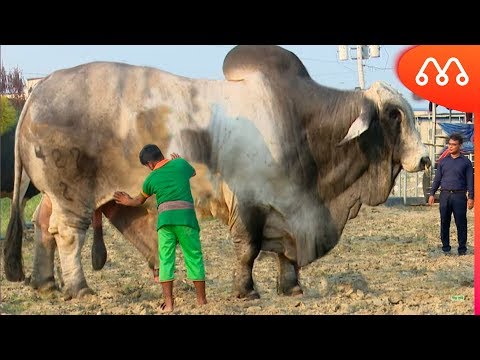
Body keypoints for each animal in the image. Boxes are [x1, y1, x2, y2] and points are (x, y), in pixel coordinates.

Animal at [4, 45, 432, 298]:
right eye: (394, 115)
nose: (426, 161)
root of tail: (39, 91)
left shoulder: (290, 205)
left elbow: (286, 252)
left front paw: (290, 288)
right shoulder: (249, 200)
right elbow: (249, 249)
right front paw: (246, 291)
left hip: (55, 194)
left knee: (42, 226)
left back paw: (46, 284)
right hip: (72, 194)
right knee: (66, 235)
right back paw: (78, 288)